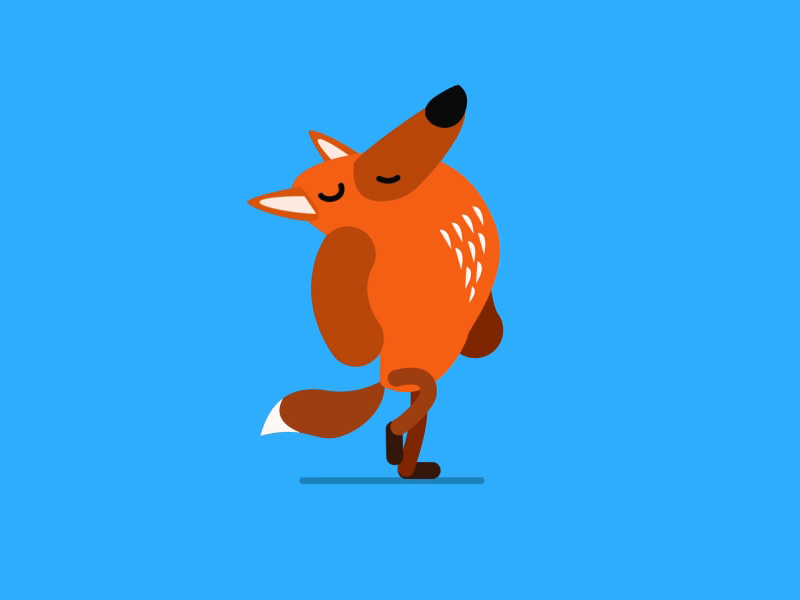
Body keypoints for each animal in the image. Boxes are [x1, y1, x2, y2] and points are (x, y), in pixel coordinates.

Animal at [250, 85, 503, 479]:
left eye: (358, 156)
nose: (447, 103)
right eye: (331, 194)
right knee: (418, 401)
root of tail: (385, 376)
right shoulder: (346, 243)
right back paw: (398, 452)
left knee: (421, 404)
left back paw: (411, 466)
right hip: (410, 368)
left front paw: (487, 336)